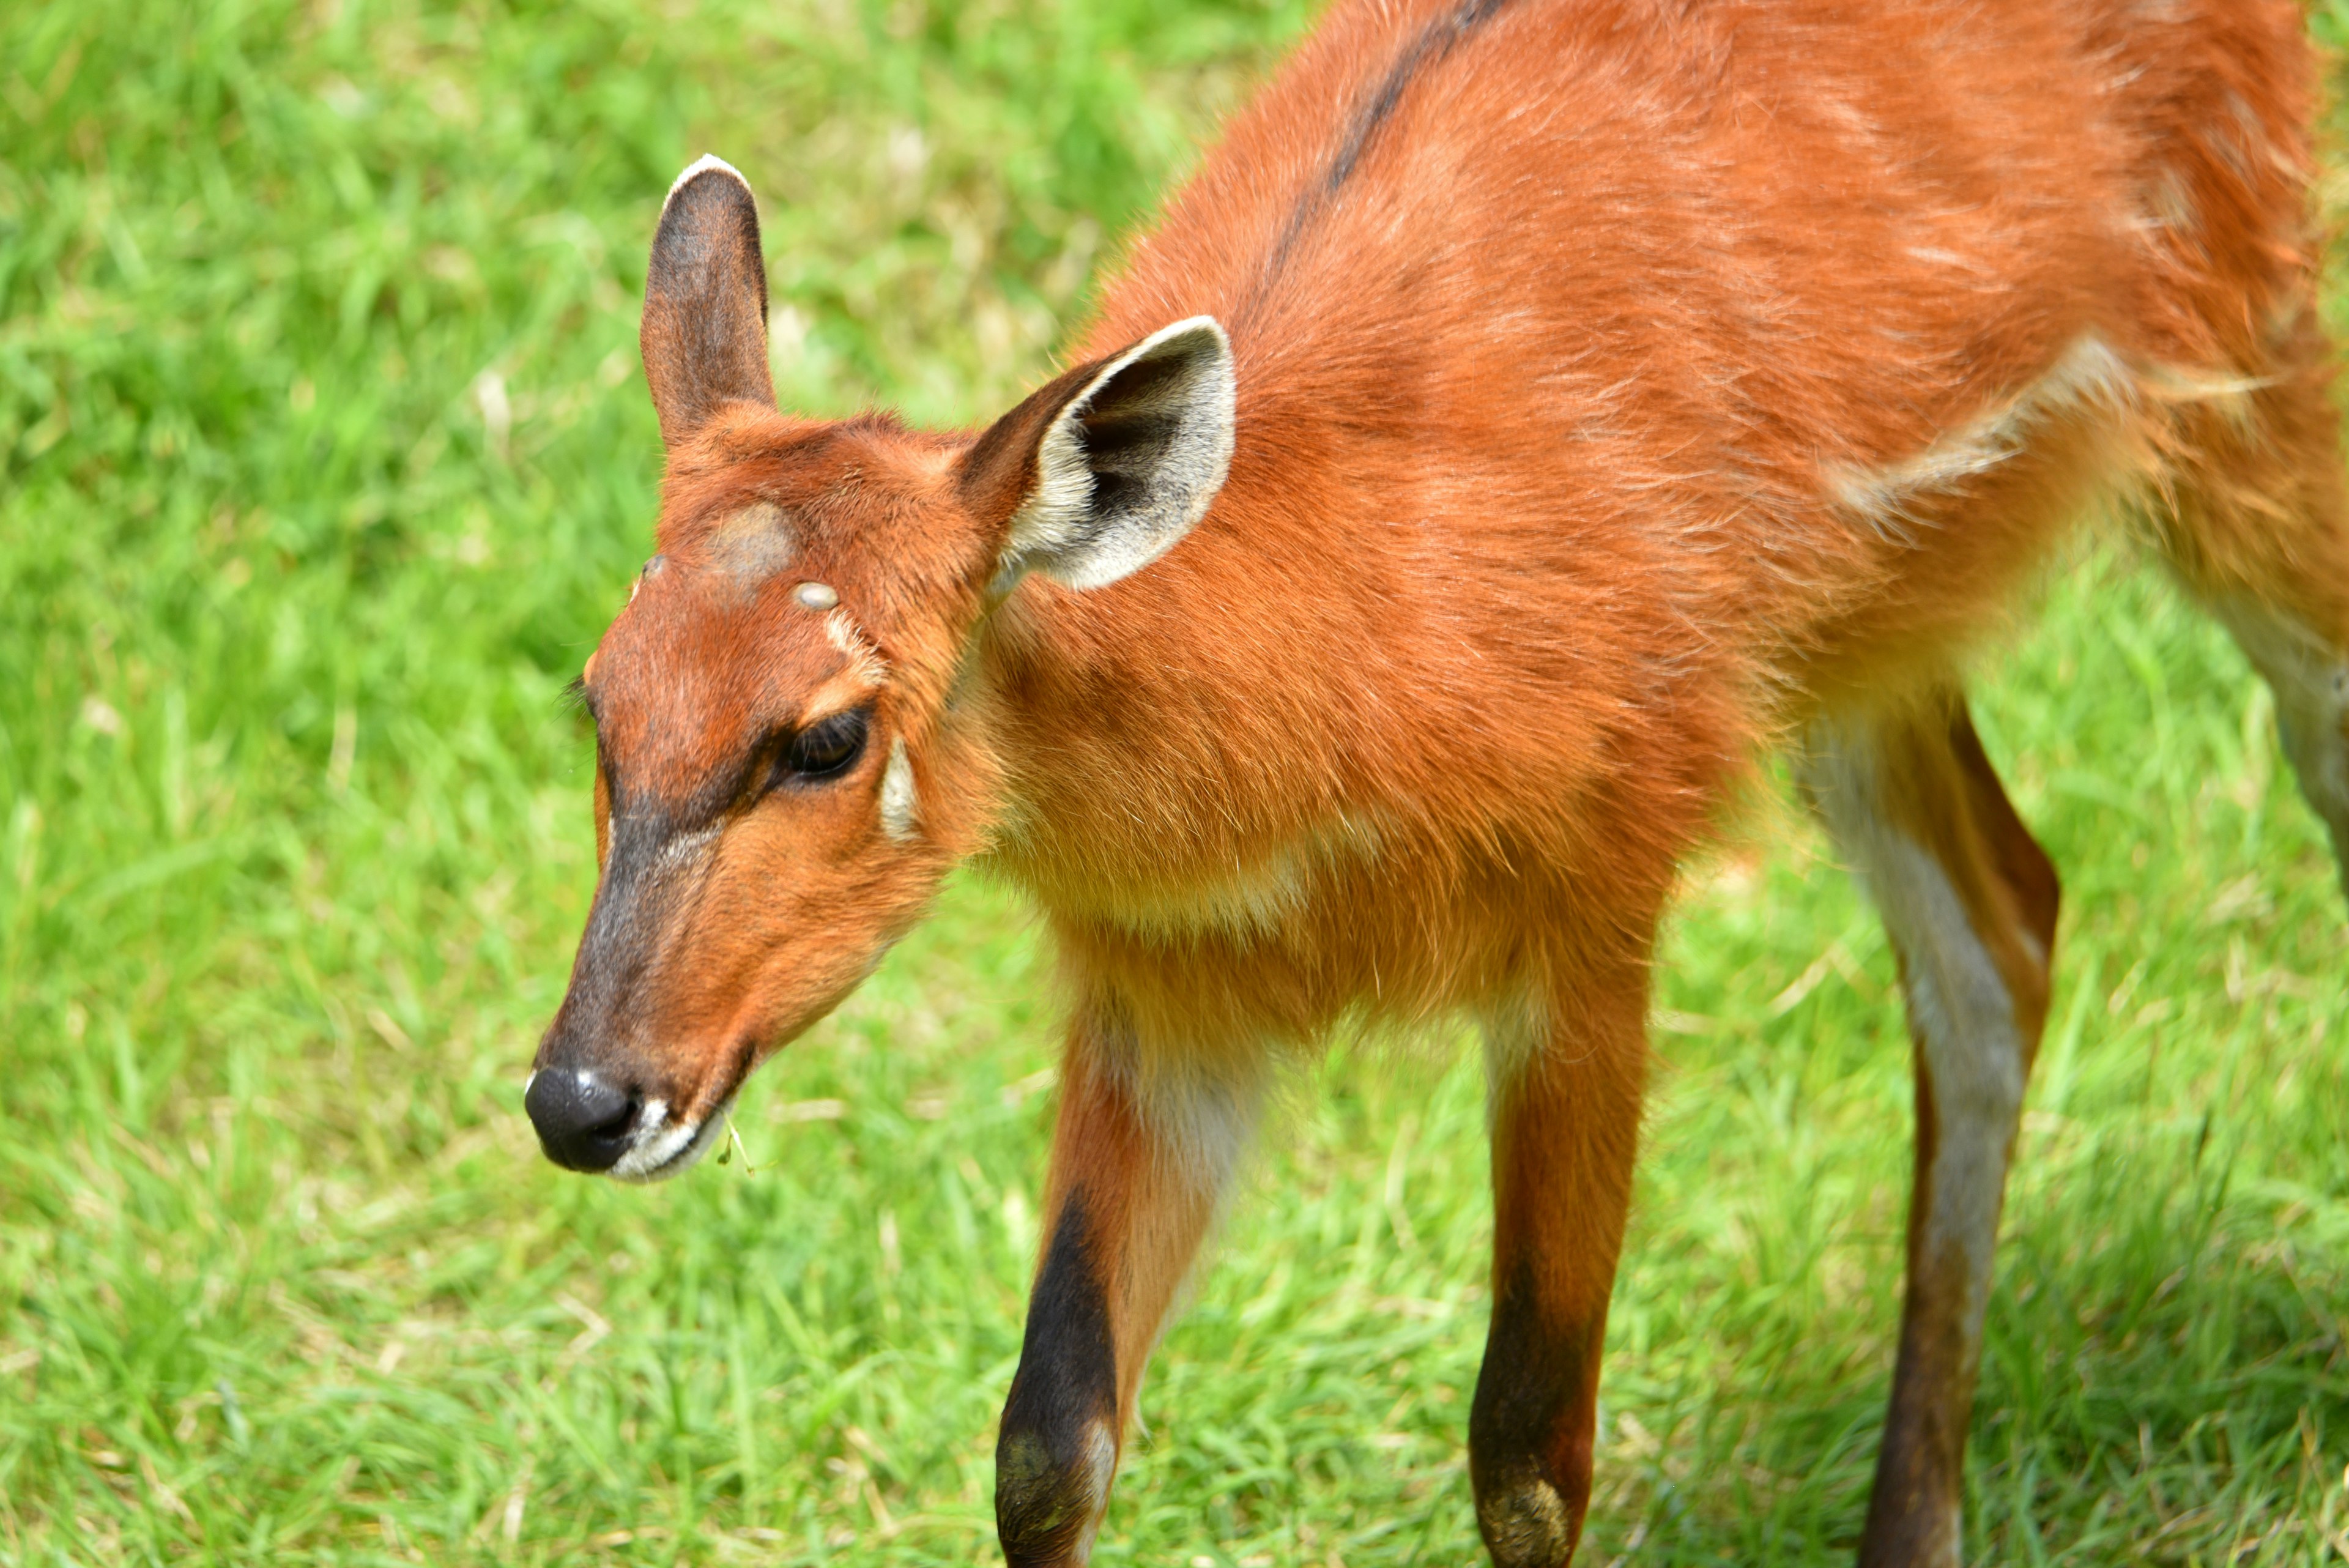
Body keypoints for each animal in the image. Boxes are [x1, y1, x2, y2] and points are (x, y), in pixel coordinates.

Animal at [533, 6, 2349, 1561]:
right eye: (596, 698)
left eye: (830, 734)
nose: (581, 1100)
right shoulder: (1166, 1004)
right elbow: (1048, 1442)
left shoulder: (1590, 924)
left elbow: (1527, 1448)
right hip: (1861, 651)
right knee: (2005, 922)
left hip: (2245, 375)